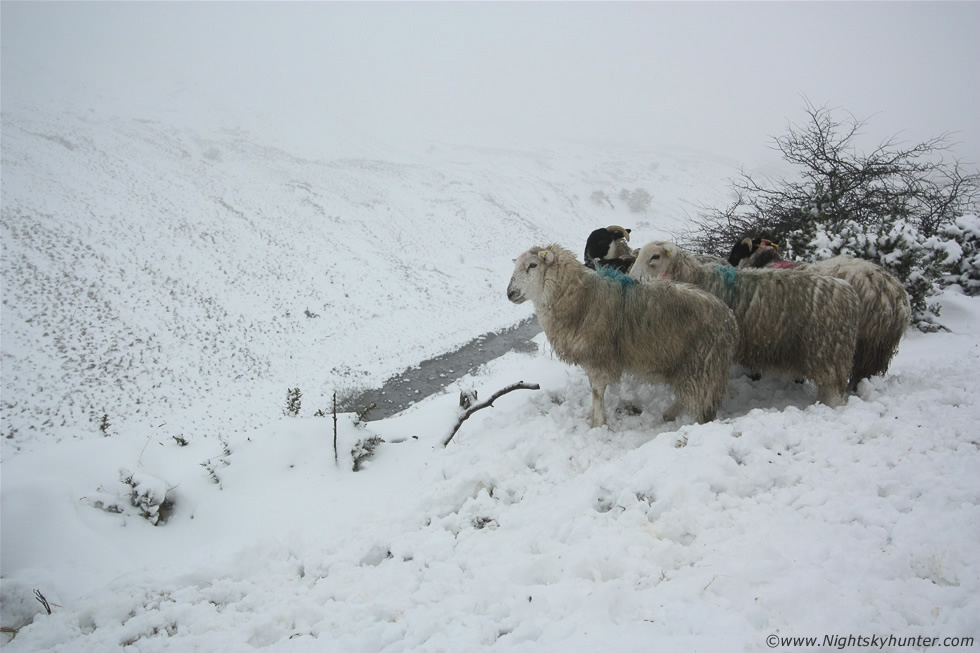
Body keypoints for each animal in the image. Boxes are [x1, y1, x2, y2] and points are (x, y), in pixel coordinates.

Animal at [628, 239, 856, 408]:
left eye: (655, 257)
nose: (631, 279)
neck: (698, 278)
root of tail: (848, 292)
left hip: (827, 356)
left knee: (833, 394)